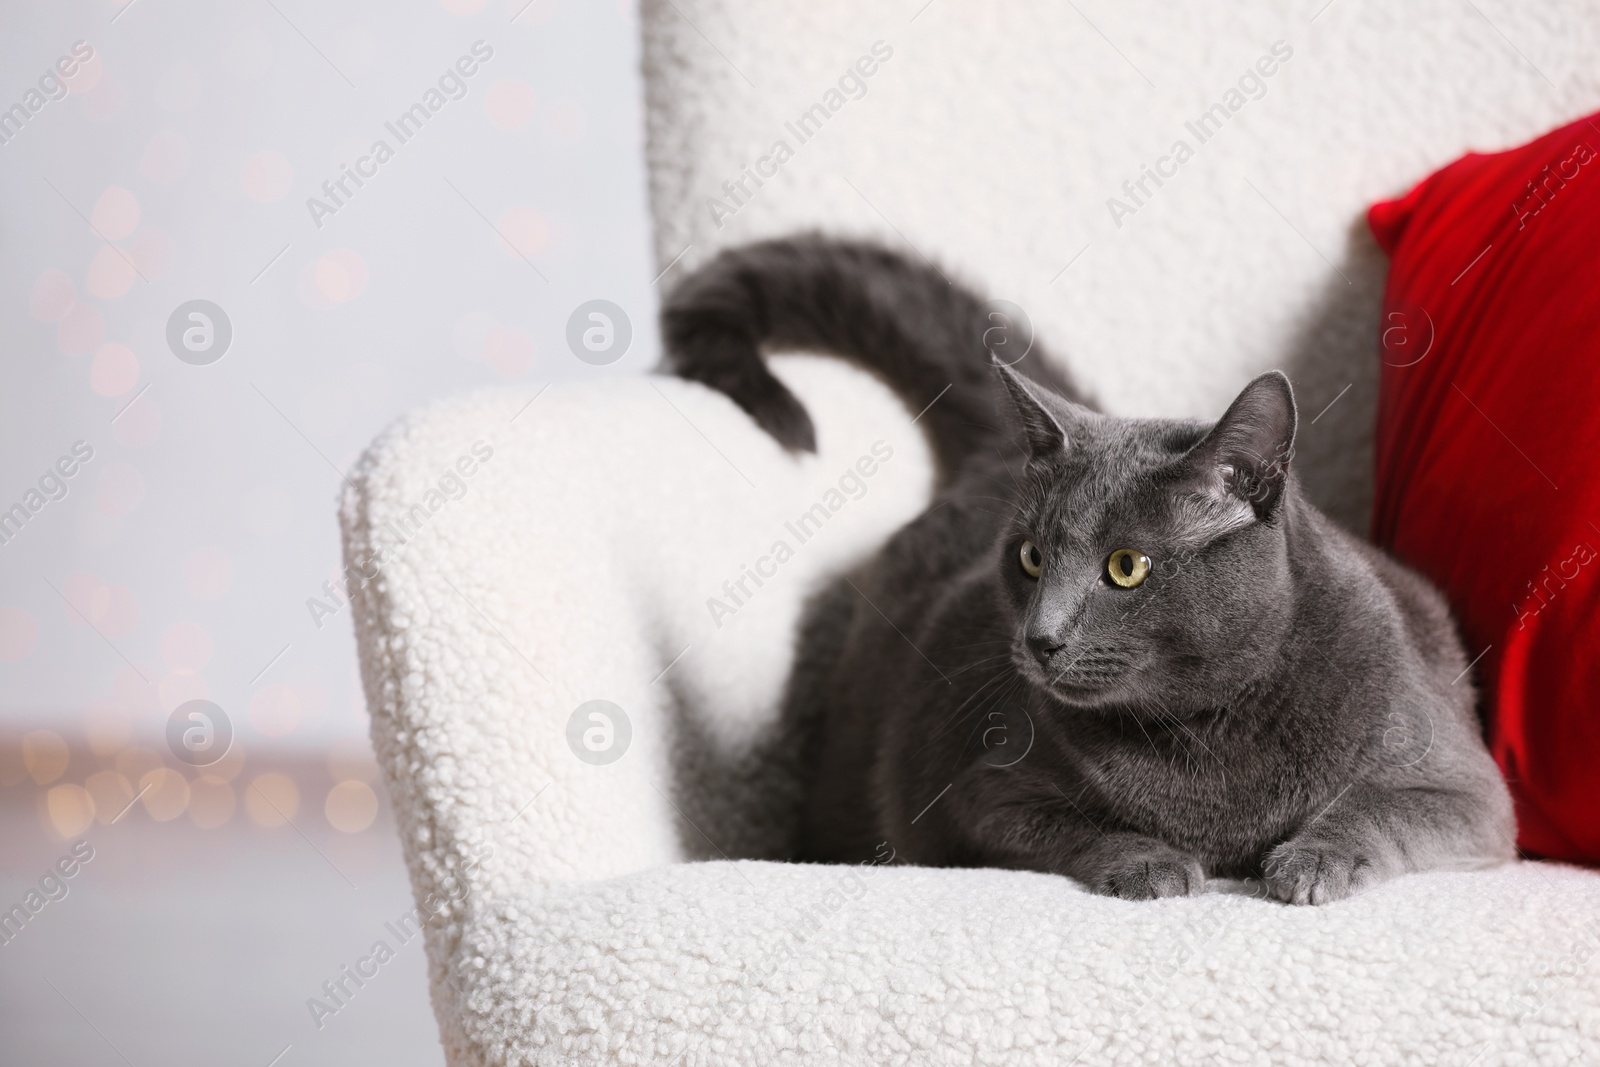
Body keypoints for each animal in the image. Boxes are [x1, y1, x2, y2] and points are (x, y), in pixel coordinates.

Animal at [659, 233, 1510, 902]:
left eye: (1126, 566)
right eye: (1031, 556)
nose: (1040, 637)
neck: (1206, 735)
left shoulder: (1471, 790)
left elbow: (1382, 806)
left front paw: (1312, 860)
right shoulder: (980, 795)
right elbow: (1072, 827)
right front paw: (1152, 861)